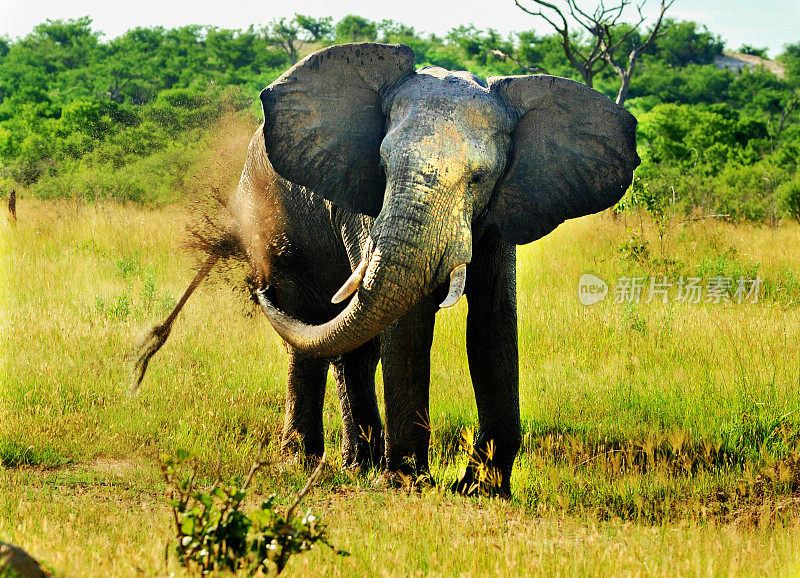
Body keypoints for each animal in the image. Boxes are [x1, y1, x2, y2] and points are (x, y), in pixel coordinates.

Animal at [134, 41, 640, 496]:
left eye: (479, 179)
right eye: (381, 163)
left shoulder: (502, 213)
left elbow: (493, 323)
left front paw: (482, 491)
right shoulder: (362, 202)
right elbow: (407, 324)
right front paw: (408, 484)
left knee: (350, 344)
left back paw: (358, 465)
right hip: (272, 221)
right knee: (313, 329)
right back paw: (306, 464)